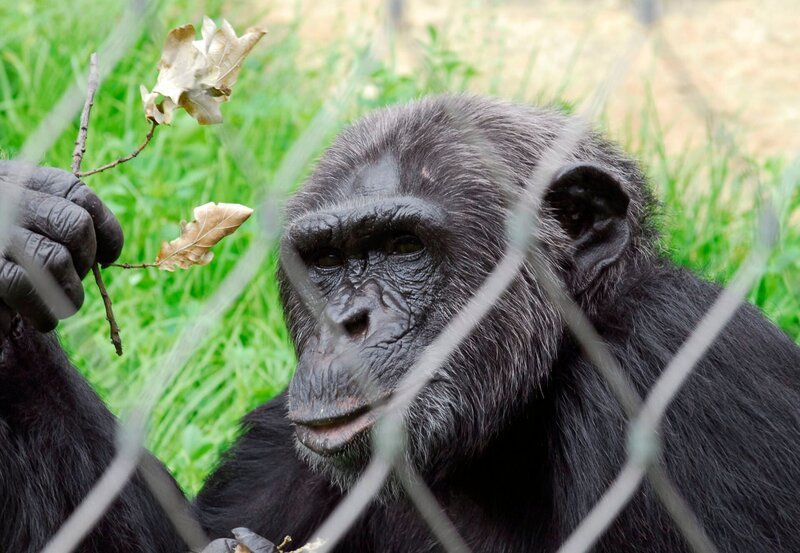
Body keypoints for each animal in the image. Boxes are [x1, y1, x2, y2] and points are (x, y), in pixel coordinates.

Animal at [1, 96, 800, 552]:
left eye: (402, 247)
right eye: (327, 260)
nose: (346, 322)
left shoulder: (680, 378)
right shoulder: (285, 437)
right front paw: (22, 234)